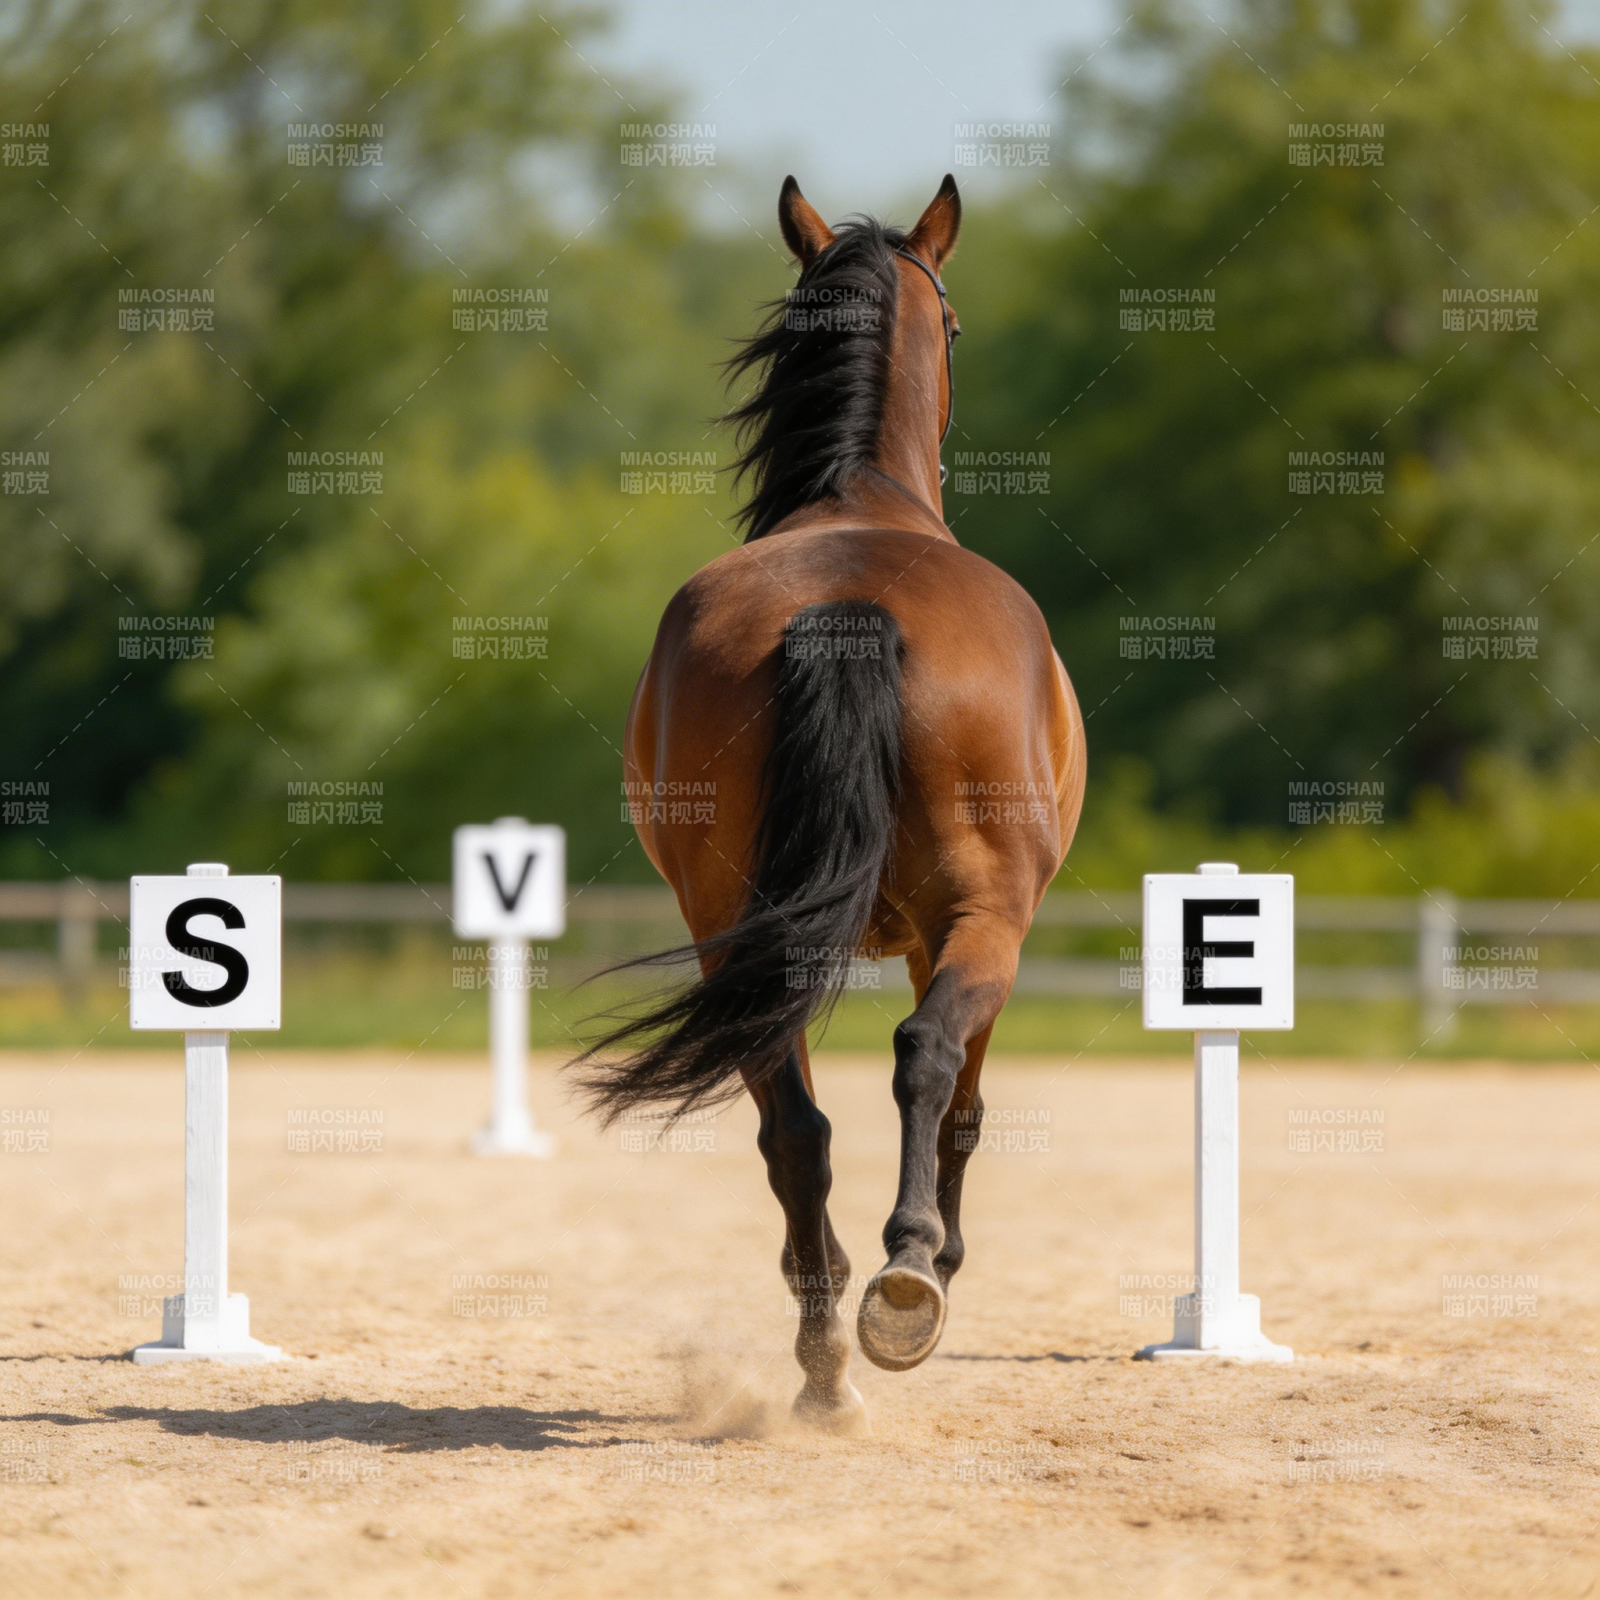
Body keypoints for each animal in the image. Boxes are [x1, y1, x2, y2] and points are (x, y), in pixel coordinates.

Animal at [576, 175, 1086, 1434]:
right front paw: (937, 1254)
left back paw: (822, 1357)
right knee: (925, 1059)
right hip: (975, 919)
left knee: (793, 1128)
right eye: (955, 322)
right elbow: (961, 1101)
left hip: (739, 935)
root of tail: (850, 604)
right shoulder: (972, 930)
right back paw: (903, 1285)